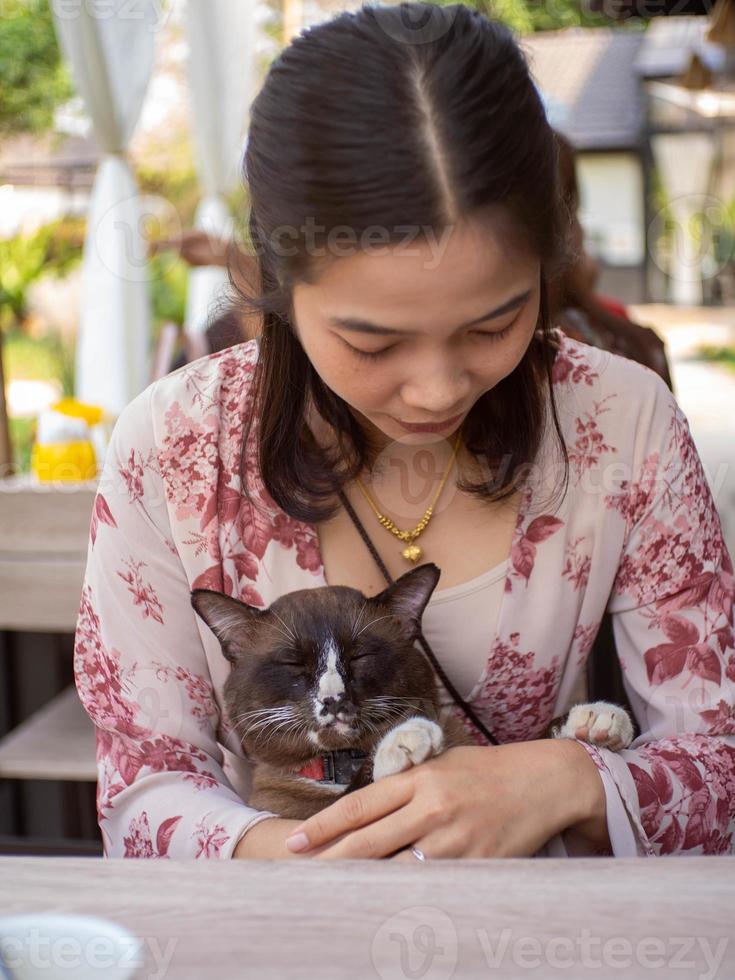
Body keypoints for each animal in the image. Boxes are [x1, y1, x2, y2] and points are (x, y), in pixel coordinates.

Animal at [193, 564, 636, 824]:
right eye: (293, 665)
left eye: (361, 655)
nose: (333, 699)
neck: (343, 762)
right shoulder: (313, 826)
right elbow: (362, 786)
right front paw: (408, 738)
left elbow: (529, 744)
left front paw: (596, 717)